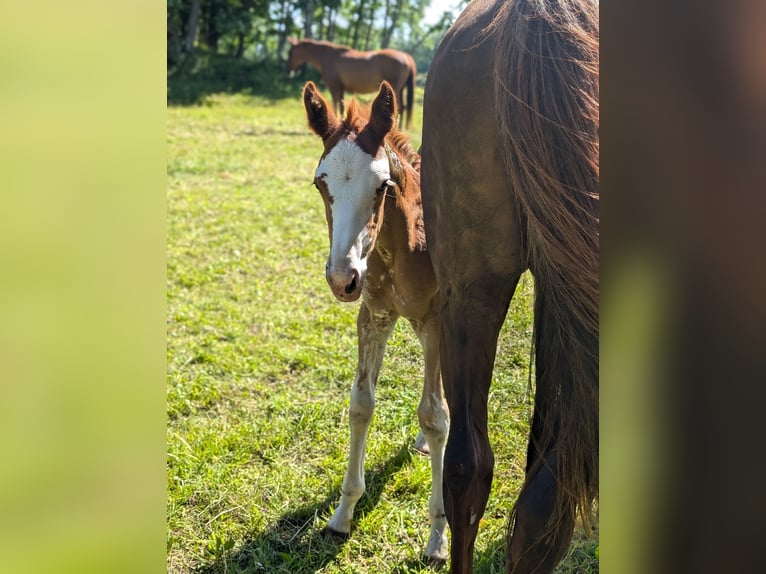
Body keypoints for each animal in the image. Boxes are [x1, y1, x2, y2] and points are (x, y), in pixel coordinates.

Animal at [290, 39, 420, 130]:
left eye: (291, 52)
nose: (288, 68)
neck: (328, 57)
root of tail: (406, 57)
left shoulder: (334, 87)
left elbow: (335, 104)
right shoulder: (341, 88)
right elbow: (341, 105)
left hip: (395, 89)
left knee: (400, 107)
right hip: (401, 89)